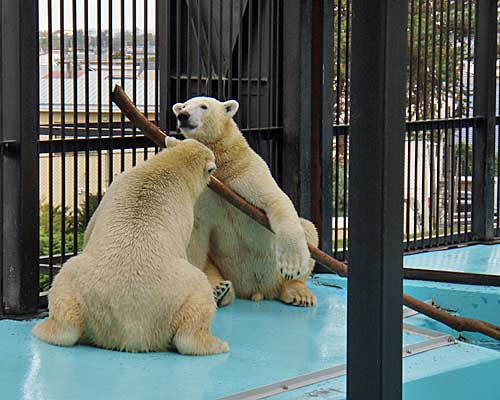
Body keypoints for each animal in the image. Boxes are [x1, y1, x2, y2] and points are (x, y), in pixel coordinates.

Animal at [34, 138, 229, 356]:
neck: (168, 167)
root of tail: (132, 332)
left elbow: (91, 227)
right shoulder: (185, 211)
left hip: (77, 288)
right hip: (185, 293)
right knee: (194, 317)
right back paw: (217, 343)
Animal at [174, 96, 318, 306]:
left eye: (204, 106)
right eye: (183, 106)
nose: (183, 115)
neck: (221, 168)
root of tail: (259, 290)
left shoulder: (244, 171)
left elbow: (275, 200)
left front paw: (292, 266)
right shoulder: (204, 191)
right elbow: (196, 232)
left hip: (275, 273)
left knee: (308, 229)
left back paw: (298, 293)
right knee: (209, 262)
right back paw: (220, 290)